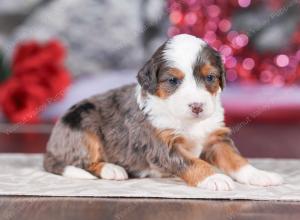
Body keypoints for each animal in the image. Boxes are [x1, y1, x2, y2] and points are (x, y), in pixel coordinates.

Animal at [43, 34, 282, 191]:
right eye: (173, 80)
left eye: (210, 77)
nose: (197, 106)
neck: (188, 121)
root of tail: (51, 146)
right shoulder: (163, 144)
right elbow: (193, 162)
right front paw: (215, 178)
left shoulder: (215, 138)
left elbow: (236, 159)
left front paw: (259, 175)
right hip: (83, 126)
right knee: (83, 161)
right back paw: (112, 169)